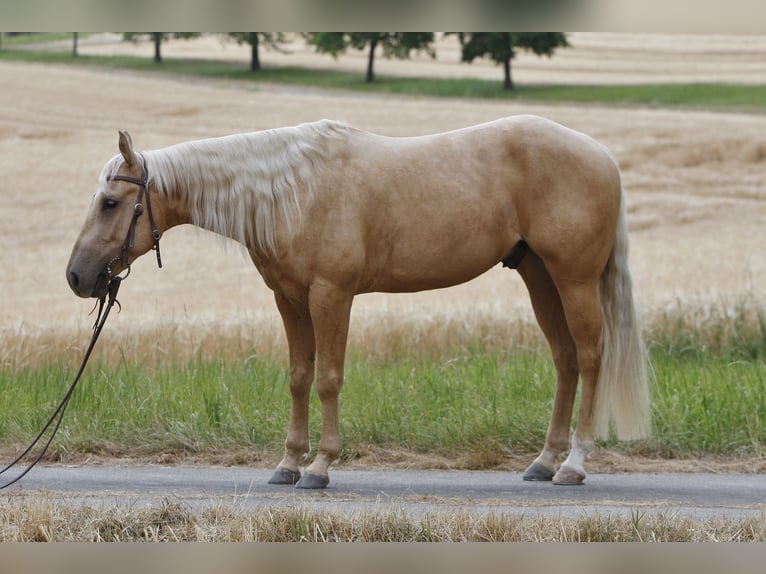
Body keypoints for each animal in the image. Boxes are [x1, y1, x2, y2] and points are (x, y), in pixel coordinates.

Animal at [66, 116, 651, 489]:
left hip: (573, 279)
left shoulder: (331, 296)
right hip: (539, 276)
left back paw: (574, 464)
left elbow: (328, 379)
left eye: (111, 202)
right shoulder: (290, 299)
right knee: (566, 360)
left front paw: (320, 468)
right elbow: (299, 378)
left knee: (591, 358)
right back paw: (544, 462)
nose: (77, 276)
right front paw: (288, 464)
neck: (292, 191)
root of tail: (602, 156)